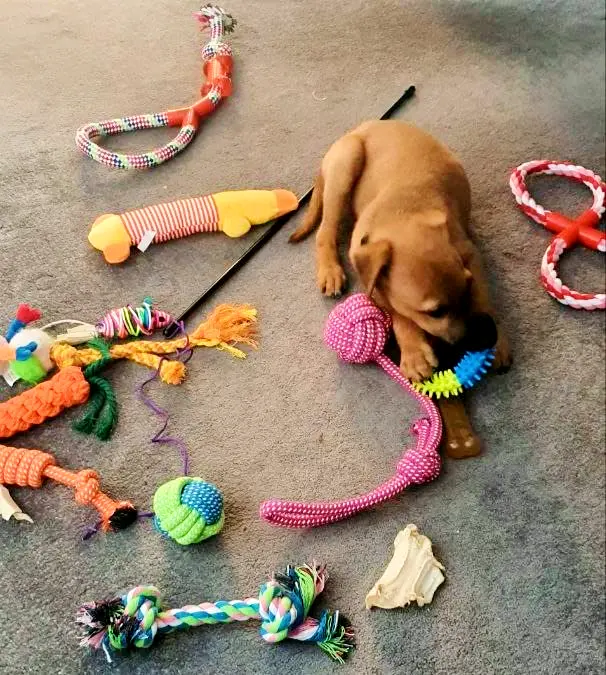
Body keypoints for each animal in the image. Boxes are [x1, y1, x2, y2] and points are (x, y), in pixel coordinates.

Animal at [292, 122, 510, 460]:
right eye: (435, 312)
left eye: (468, 285)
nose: (486, 336)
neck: (404, 212)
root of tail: (363, 125)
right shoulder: (373, 278)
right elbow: (398, 313)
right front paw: (414, 352)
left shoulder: (470, 255)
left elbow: (484, 295)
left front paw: (497, 343)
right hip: (346, 163)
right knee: (325, 230)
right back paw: (329, 270)